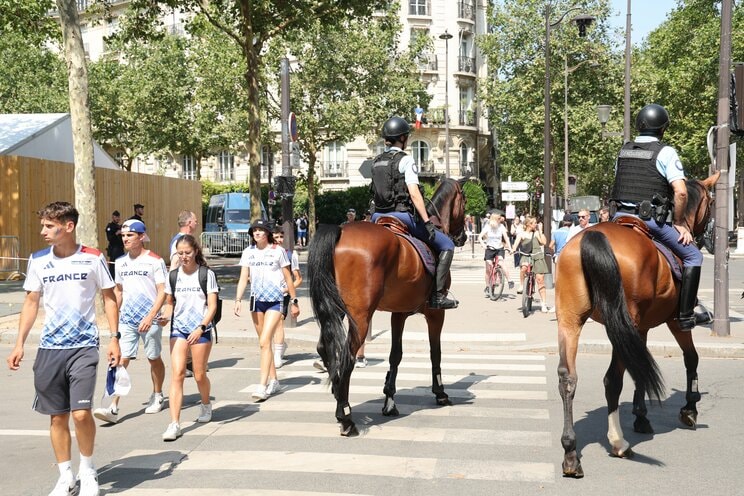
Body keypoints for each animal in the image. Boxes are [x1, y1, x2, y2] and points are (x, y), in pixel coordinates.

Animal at [308, 177, 464, 434]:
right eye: (465, 200)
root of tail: (341, 231)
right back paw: (346, 416)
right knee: (348, 357)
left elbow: (395, 355)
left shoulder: (398, 314)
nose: (461, 238)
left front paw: (389, 401)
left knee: (324, 347)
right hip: (360, 317)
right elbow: (436, 353)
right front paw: (440, 393)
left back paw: (338, 393)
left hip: (337, 310)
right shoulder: (435, 313)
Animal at [560, 170, 720, 476]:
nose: (716, 236)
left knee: (568, 378)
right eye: (712, 202)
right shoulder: (673, 322)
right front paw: (689, 409)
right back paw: (618, 442)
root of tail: (594, 235)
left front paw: (641, 416)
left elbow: (640, 368)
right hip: (623, 323)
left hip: (571, 321)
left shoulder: (641, 329)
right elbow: (691, 358)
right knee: (612, 380)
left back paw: (571, 453)